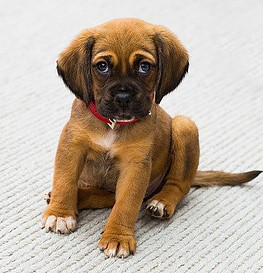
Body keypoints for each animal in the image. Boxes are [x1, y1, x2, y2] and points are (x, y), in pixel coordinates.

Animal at [41, 17, 262, 258]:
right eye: (102, 66)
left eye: (144, 67)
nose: (123, 97)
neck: (113, 125)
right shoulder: (71, 146)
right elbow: (65, 181)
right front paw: (61, 213)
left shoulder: (135, 166)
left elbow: (126, 204)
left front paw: (118, 237)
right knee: (106, 196)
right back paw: (77, 196)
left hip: (185, 126)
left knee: (178, 185)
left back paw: (162, 202)